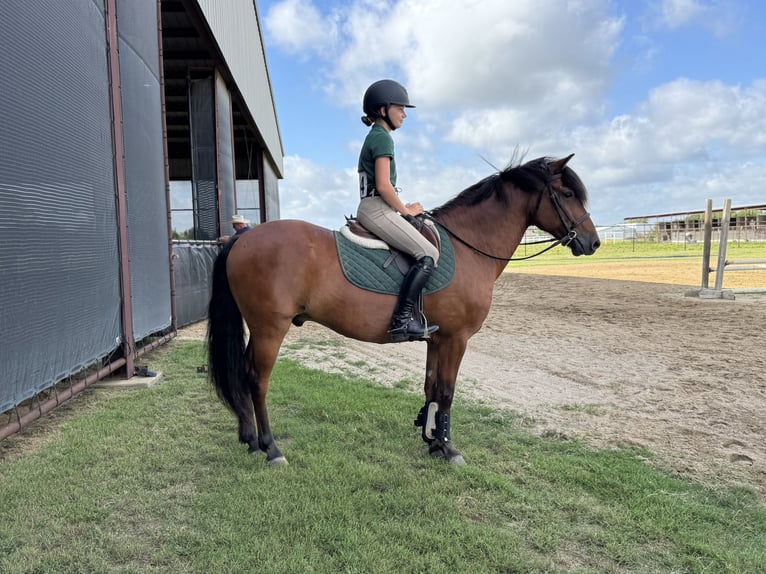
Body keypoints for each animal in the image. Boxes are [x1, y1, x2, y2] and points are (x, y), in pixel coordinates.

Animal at [207, 154, 600, 465]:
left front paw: (432, 442)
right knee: (257, 380)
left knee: (242, 374)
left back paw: (250, 440)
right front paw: (448, 448)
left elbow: (430, 388)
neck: (469, 246)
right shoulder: (456, 338)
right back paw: (271, 448)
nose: (593, 242)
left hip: (259, 329)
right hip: (270, 328)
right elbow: (447, 392)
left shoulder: (437, 339)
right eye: (567, 194)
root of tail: (243, 239)